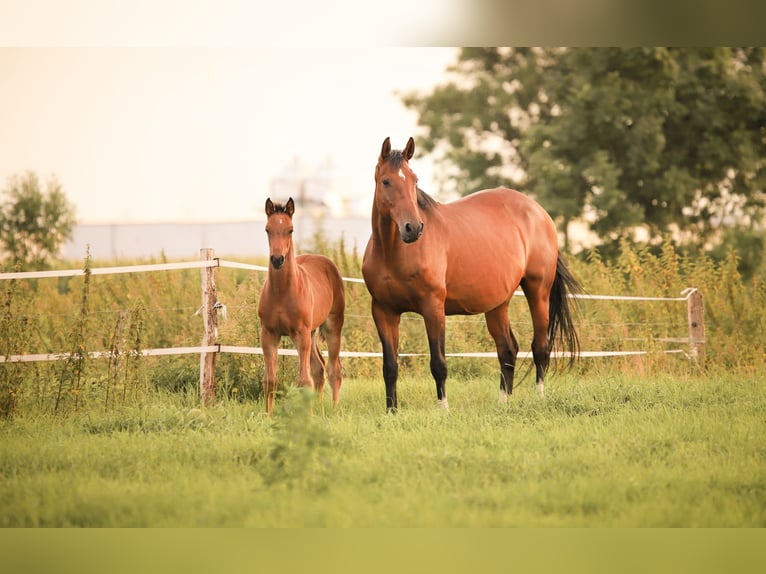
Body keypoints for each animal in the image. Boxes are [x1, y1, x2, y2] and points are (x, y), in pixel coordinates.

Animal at [257, 197, 345, 416]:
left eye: (291, 229)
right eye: (267, 229)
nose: (277, 259)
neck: (281, 292)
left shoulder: (300, 333)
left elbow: (304, 381)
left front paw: (308, 418)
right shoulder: (268, 334)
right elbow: (270, 380)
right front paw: (268, 416)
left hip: (331, 328)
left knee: (334, 370)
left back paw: (333, 410)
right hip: (311, 334)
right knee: (319, 369)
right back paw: (320, 408)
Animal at [361, 137, 581, 412]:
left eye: (414, 180)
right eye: (386, 181)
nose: (413, 228)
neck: (393, 252)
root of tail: (539, 212)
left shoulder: (433, 308)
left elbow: (438, 364)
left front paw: (443, 410)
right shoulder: (383, 311)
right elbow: (390, 366)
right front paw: (391, 412)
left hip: (538, 292)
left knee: (540, 348)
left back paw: (540, 398)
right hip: (498, 303)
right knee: (507, 350)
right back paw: (503, 403)